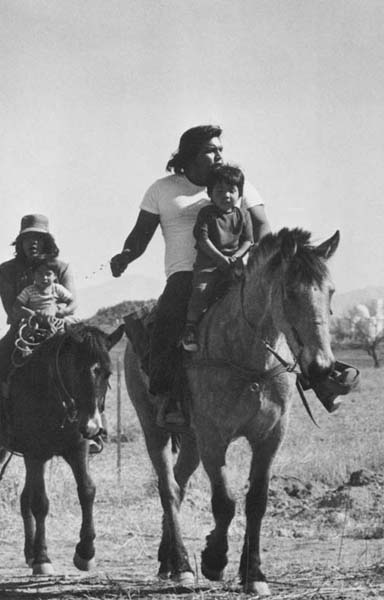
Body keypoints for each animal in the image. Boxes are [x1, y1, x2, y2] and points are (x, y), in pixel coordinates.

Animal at [0, 324, 123, 576]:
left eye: (107, 373)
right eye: (78, 370)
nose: (93, 427)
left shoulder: (77, 449)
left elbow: (87, 491)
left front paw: (85, 552)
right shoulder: (35, 454)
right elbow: (40, 503)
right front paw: (42, 558)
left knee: (24, 498)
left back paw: (29, 552)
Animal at [124, 226, 340, 596]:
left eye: (331, 291)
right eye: (289, 292)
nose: (322, 367)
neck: (250, 362)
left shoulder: (270, 438)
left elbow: (257, 501)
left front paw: (253, 573)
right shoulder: (214, 439)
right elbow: (224, 502)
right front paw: (213, 559)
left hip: (190, 440)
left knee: (179, 485)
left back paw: (168, 561)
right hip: (155, 430)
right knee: (168, 489)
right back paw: (183, 566)